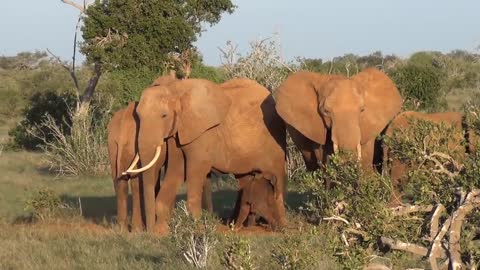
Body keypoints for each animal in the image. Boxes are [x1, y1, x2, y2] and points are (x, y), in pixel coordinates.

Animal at [125, 77, 286, 232]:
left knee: (277, 180)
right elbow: (176, 170)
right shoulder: (178, 132)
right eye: (138, 116)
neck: (176, 90)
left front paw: (197, 227)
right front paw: (162, 232)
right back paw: (239, 226)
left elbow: (195, 171)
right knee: (245, 181)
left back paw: (281, 226)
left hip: (275, 138)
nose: (148, 232)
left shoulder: (203, 134)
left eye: (164, 115)